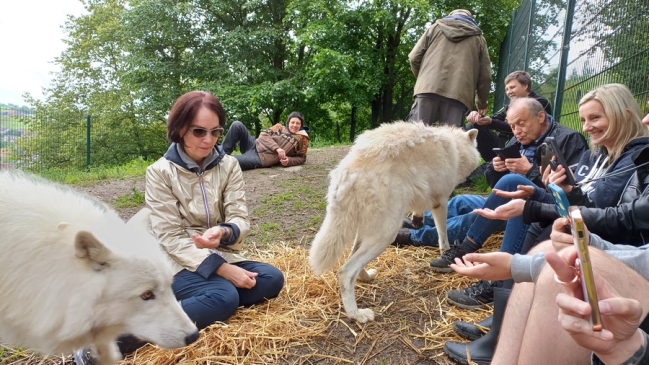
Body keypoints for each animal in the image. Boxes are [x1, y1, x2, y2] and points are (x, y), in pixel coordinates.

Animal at [308, 122, 480, 322]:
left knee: (353, 259)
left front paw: (417, 220)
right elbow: (442, 234)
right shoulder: (441, 201)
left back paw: (366, 277)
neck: (457, 149)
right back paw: (357, 314)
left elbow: (420, 212)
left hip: (368, 231)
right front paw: (445, 254)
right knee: (346, 271)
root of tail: (347, 172)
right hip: (386, 234)